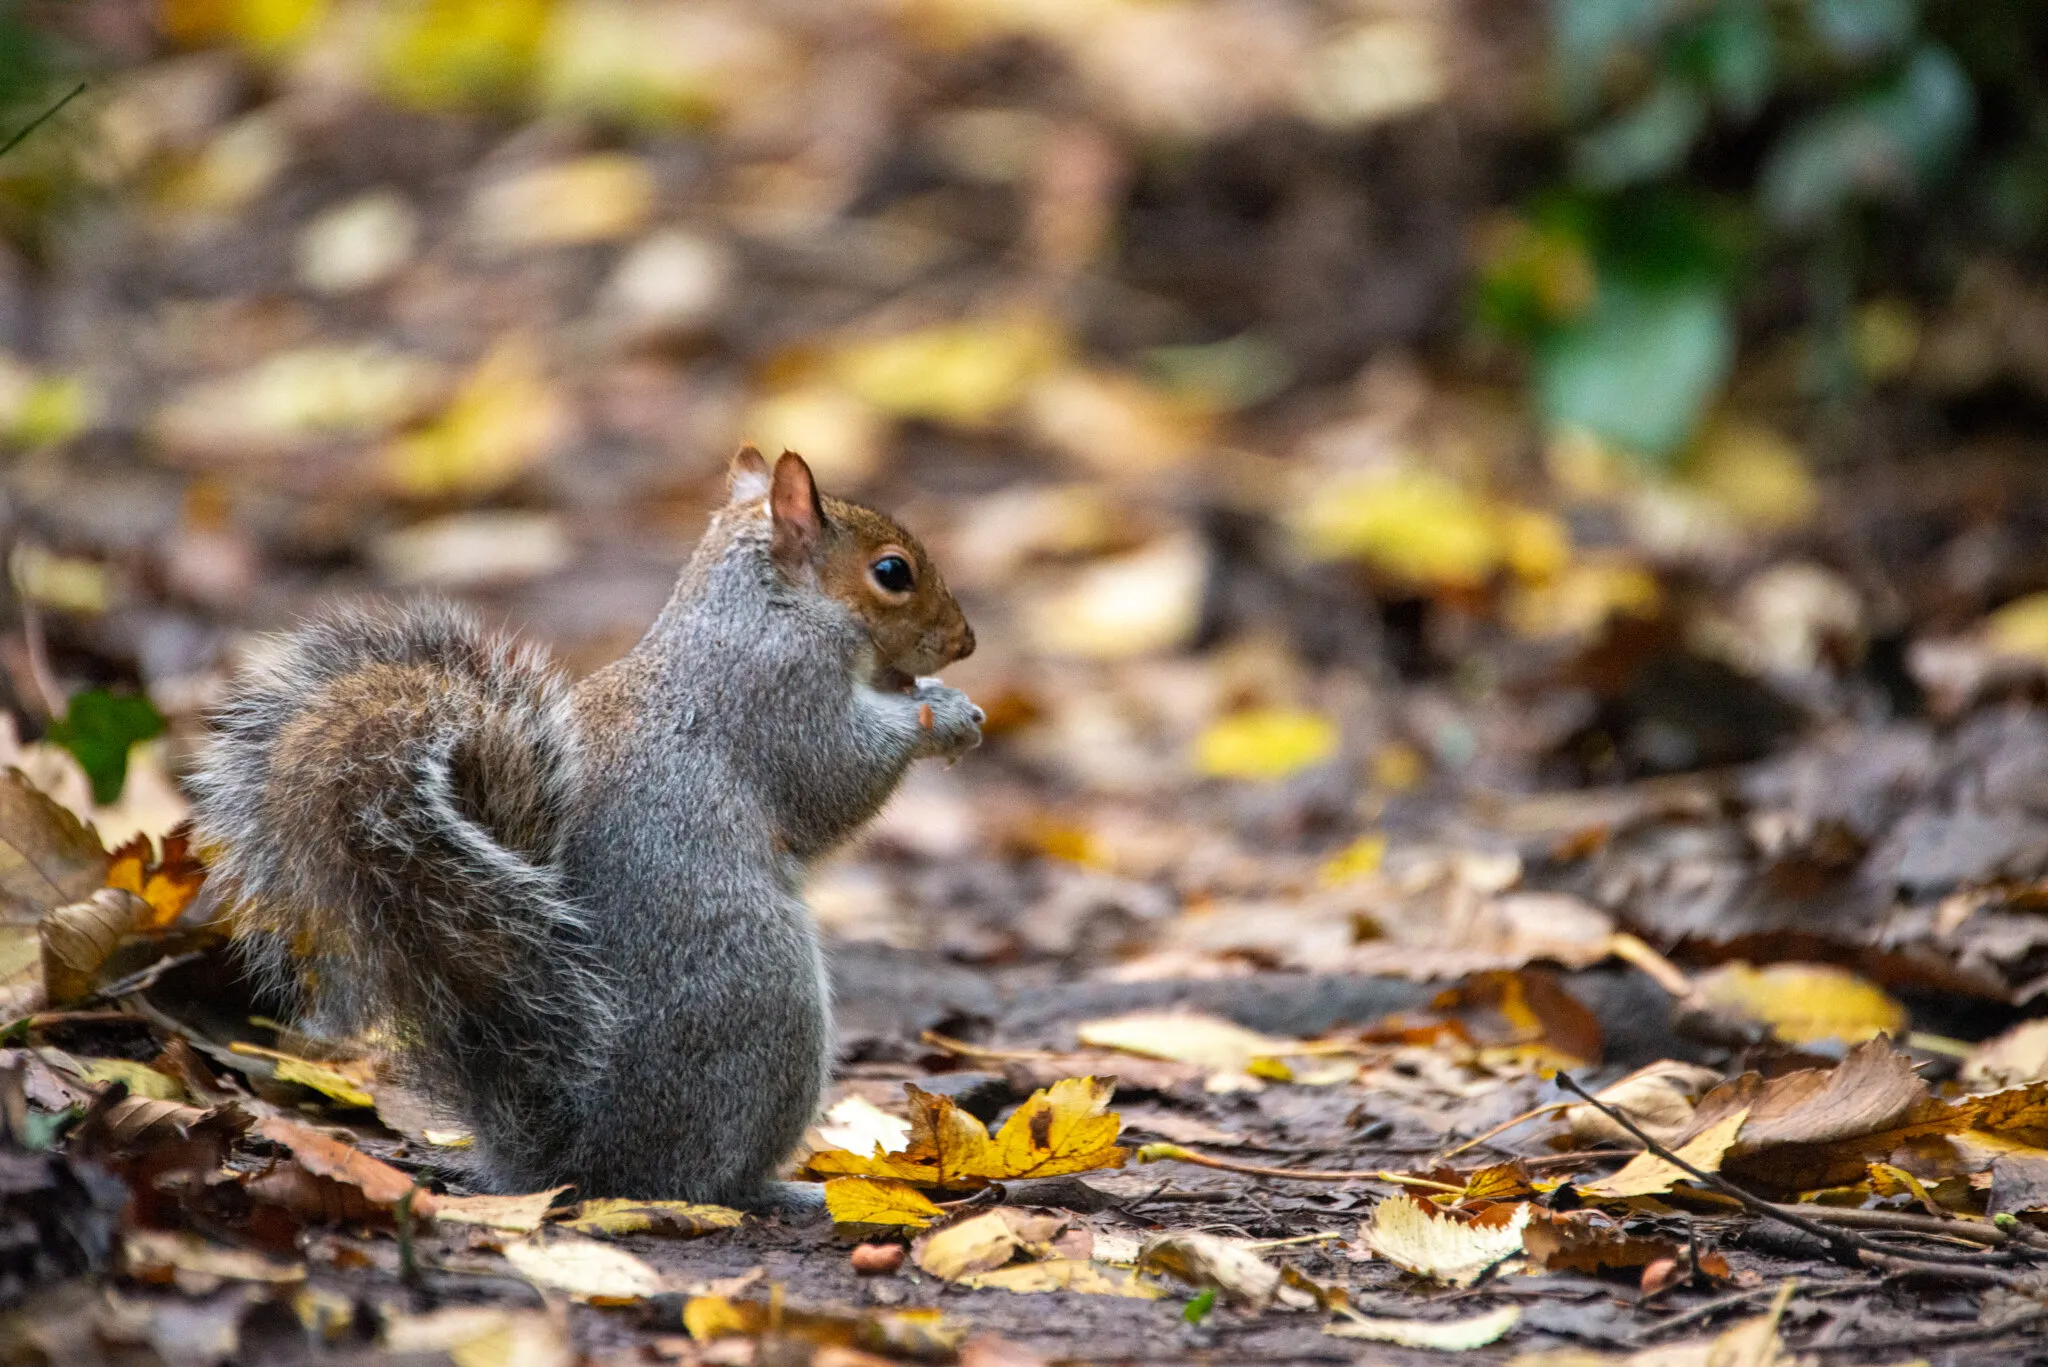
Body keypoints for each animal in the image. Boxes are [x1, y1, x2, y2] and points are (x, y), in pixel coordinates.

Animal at [190, 447, 982, 1207]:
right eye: (892, 572)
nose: (965, 642)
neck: (762, 607)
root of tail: (570, 1158)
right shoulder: (780, 695)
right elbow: (835, 778)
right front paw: (943, 714)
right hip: (769, 1002)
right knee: (702, 1179)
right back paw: (784, 1190)